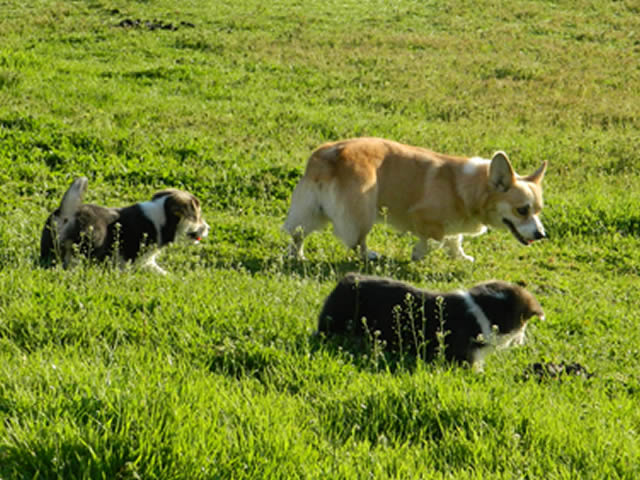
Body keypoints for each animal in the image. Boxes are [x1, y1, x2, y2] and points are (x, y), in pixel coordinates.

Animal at [40, 177, 209, 274]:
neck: (163, 218)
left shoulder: (147, 261)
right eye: (198, 217)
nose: (208, 228)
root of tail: (67, 214)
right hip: (93, 238)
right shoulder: (141, 260)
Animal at [283, 137, 547, 262]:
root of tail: (329, 155)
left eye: (538, 210)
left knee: (298, 234)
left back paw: (297, 256)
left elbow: (455, 240)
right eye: (522, 210)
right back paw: (369, 256)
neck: (468, 187)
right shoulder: (424, 217)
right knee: (357, 241)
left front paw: (461, 257)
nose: (541, 235)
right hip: (362, 213)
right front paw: (418, 254)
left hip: (312, 210)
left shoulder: (454, 224)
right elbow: (436, 240)